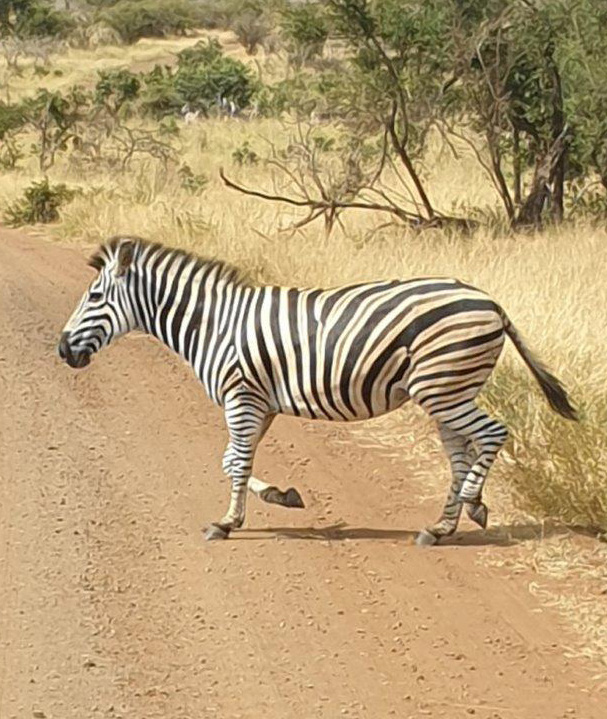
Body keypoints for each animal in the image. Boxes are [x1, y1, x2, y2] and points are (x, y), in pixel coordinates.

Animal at [57, 237, 577, 545]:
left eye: (95, 297)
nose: (63, 350)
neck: (215, 325)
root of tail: (492, 302)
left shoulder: (242, 398)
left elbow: (236, 461)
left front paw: (226, 523)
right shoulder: (259, 403)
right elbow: (231, 461)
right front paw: (282, 496)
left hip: (443, 387)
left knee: (492, 433)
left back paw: (471, 503)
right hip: (448, 391)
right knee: (461, 453)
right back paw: (443, 525)